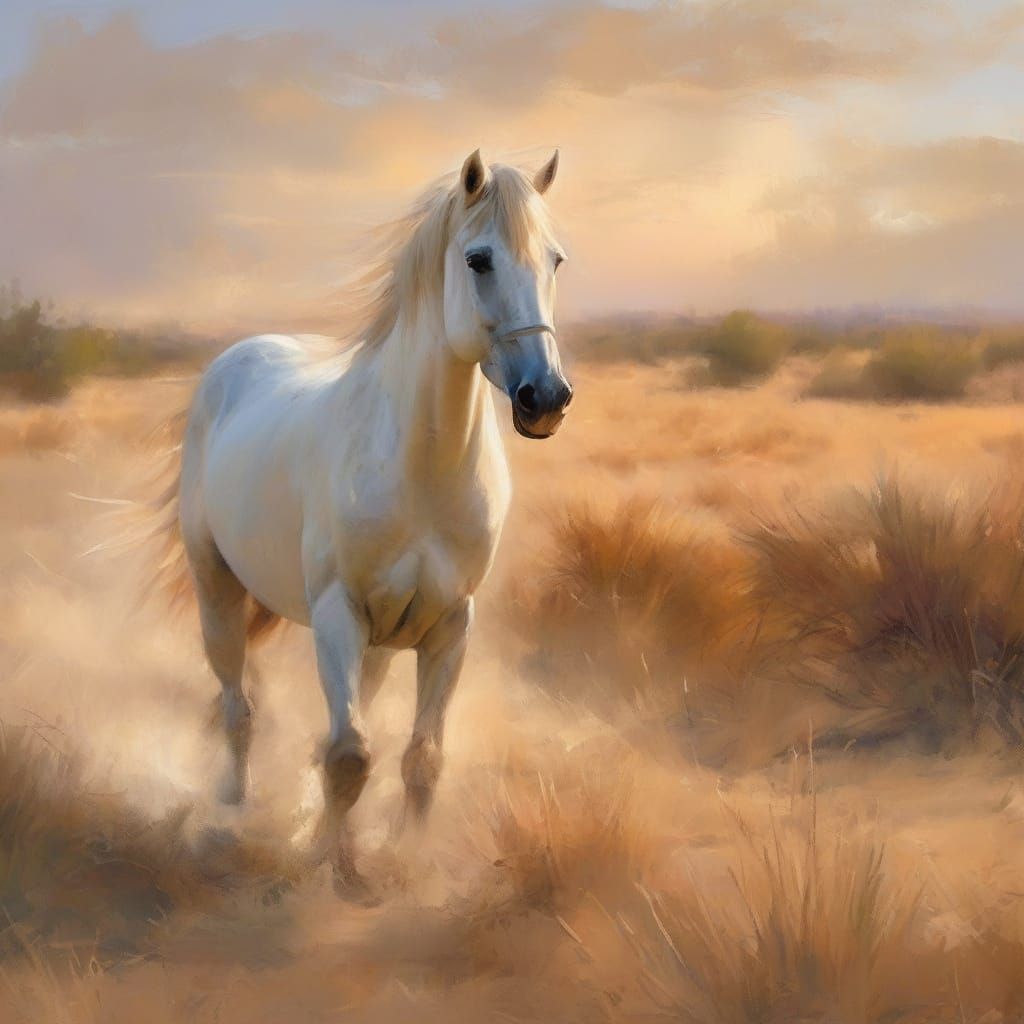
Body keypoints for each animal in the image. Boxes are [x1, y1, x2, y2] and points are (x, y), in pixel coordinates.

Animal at [156, 149, 572, 894]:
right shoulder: (337, 616)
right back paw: (232, 810)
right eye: (478, 259)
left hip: (380, 642)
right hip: (219, 593)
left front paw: (405, 863)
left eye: (555, 260)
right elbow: (350, 757)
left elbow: (419, 758)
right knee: (237, 706)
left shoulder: (449, 626)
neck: (419, 469)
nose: (545, 399)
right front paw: (337, 871)